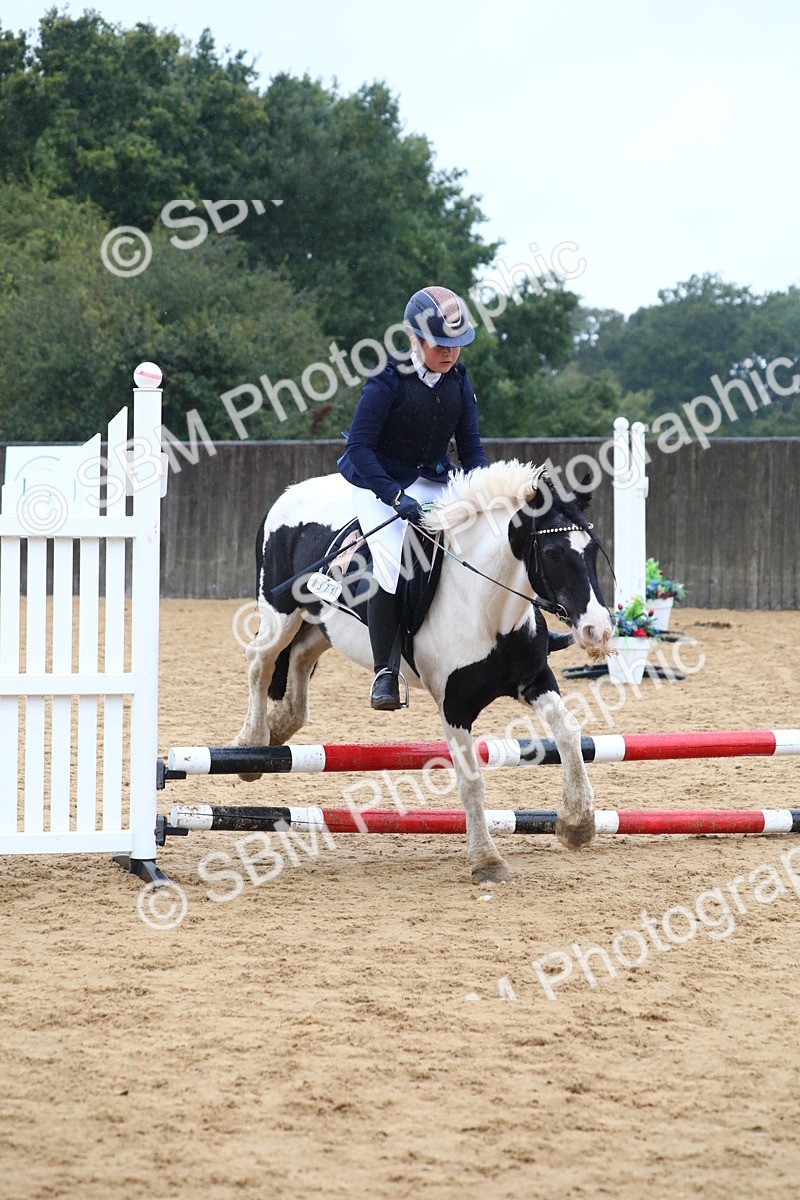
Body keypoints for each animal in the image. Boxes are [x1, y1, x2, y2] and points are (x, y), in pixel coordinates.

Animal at [233, 460, 613, 884]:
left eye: (593, 549)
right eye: (551, 552)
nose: (597, 630)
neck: (486, 610)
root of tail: (288, 494)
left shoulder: (535, 680)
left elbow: (569, 733)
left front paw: (577, 824)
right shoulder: (455, 704)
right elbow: (471, 780)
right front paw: (487, 861)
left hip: (322, 624)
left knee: (299, 657)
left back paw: (279, 727)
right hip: (281, 611)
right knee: (260, 661)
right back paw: (251, 745)